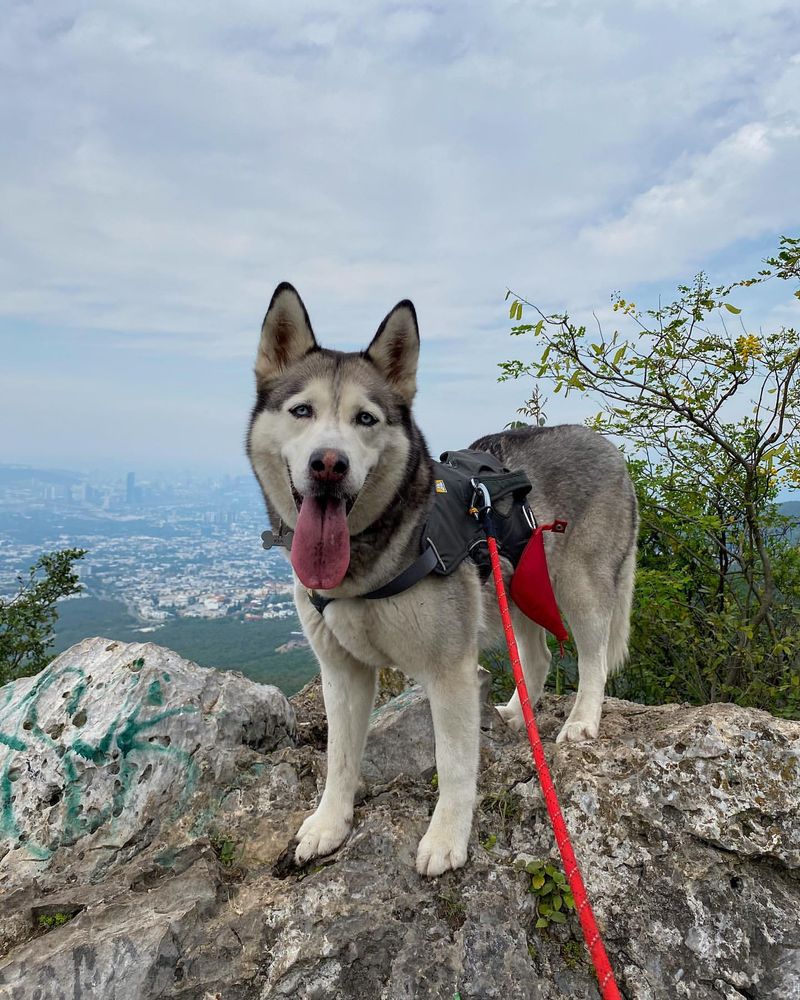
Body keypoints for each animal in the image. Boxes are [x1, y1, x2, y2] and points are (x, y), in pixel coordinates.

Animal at [244, 282, 636, 876]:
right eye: (301, 411)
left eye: (366, 419)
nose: (328, 464)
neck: (368, 562)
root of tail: (612, 448)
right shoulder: (342, 671)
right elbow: (339, 756)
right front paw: (330, 823)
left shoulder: (449, 670)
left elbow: (453, 762)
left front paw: (447, 838)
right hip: (513, 587)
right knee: (538, 655)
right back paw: (518, 713)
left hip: (580, 583)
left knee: (592, 655)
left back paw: (582, 720)